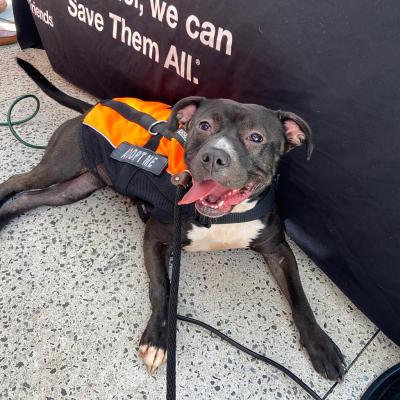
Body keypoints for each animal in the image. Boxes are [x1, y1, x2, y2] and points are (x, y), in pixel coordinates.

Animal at [0, 60, 344, 382]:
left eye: (256, 137)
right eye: (203, 125)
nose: (214, 157)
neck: (225, 217)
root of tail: (91, 107)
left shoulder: (278, 250)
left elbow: (300, 298)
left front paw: (321, 346)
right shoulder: (155, 235)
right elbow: (162, 286)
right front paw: (157, 340)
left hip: (77, 187)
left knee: (29, 198)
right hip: (62, 165)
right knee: (16, 182)